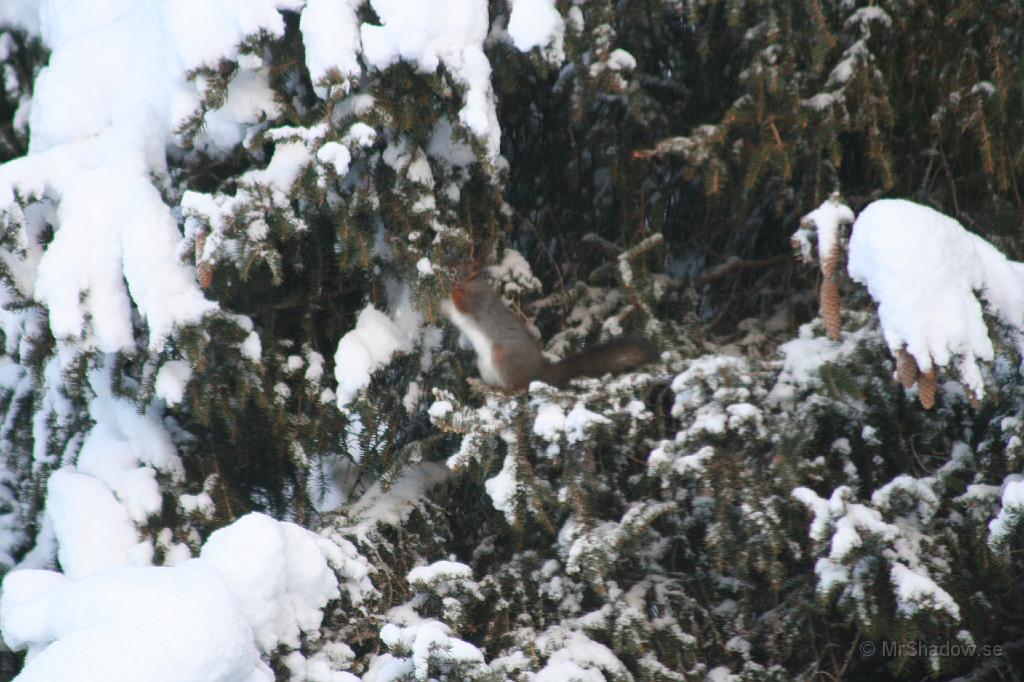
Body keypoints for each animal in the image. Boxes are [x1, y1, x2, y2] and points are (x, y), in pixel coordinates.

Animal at [444, 264, 659, 391]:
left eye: (455, 270)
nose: (445, 268)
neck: (474, 285)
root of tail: (540, 369)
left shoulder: (476, 303)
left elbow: (461, 305)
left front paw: (450, 291)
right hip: (485, 365)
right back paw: (484, 386)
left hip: (504, 359)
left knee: (519, 387)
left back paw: (503, 391)